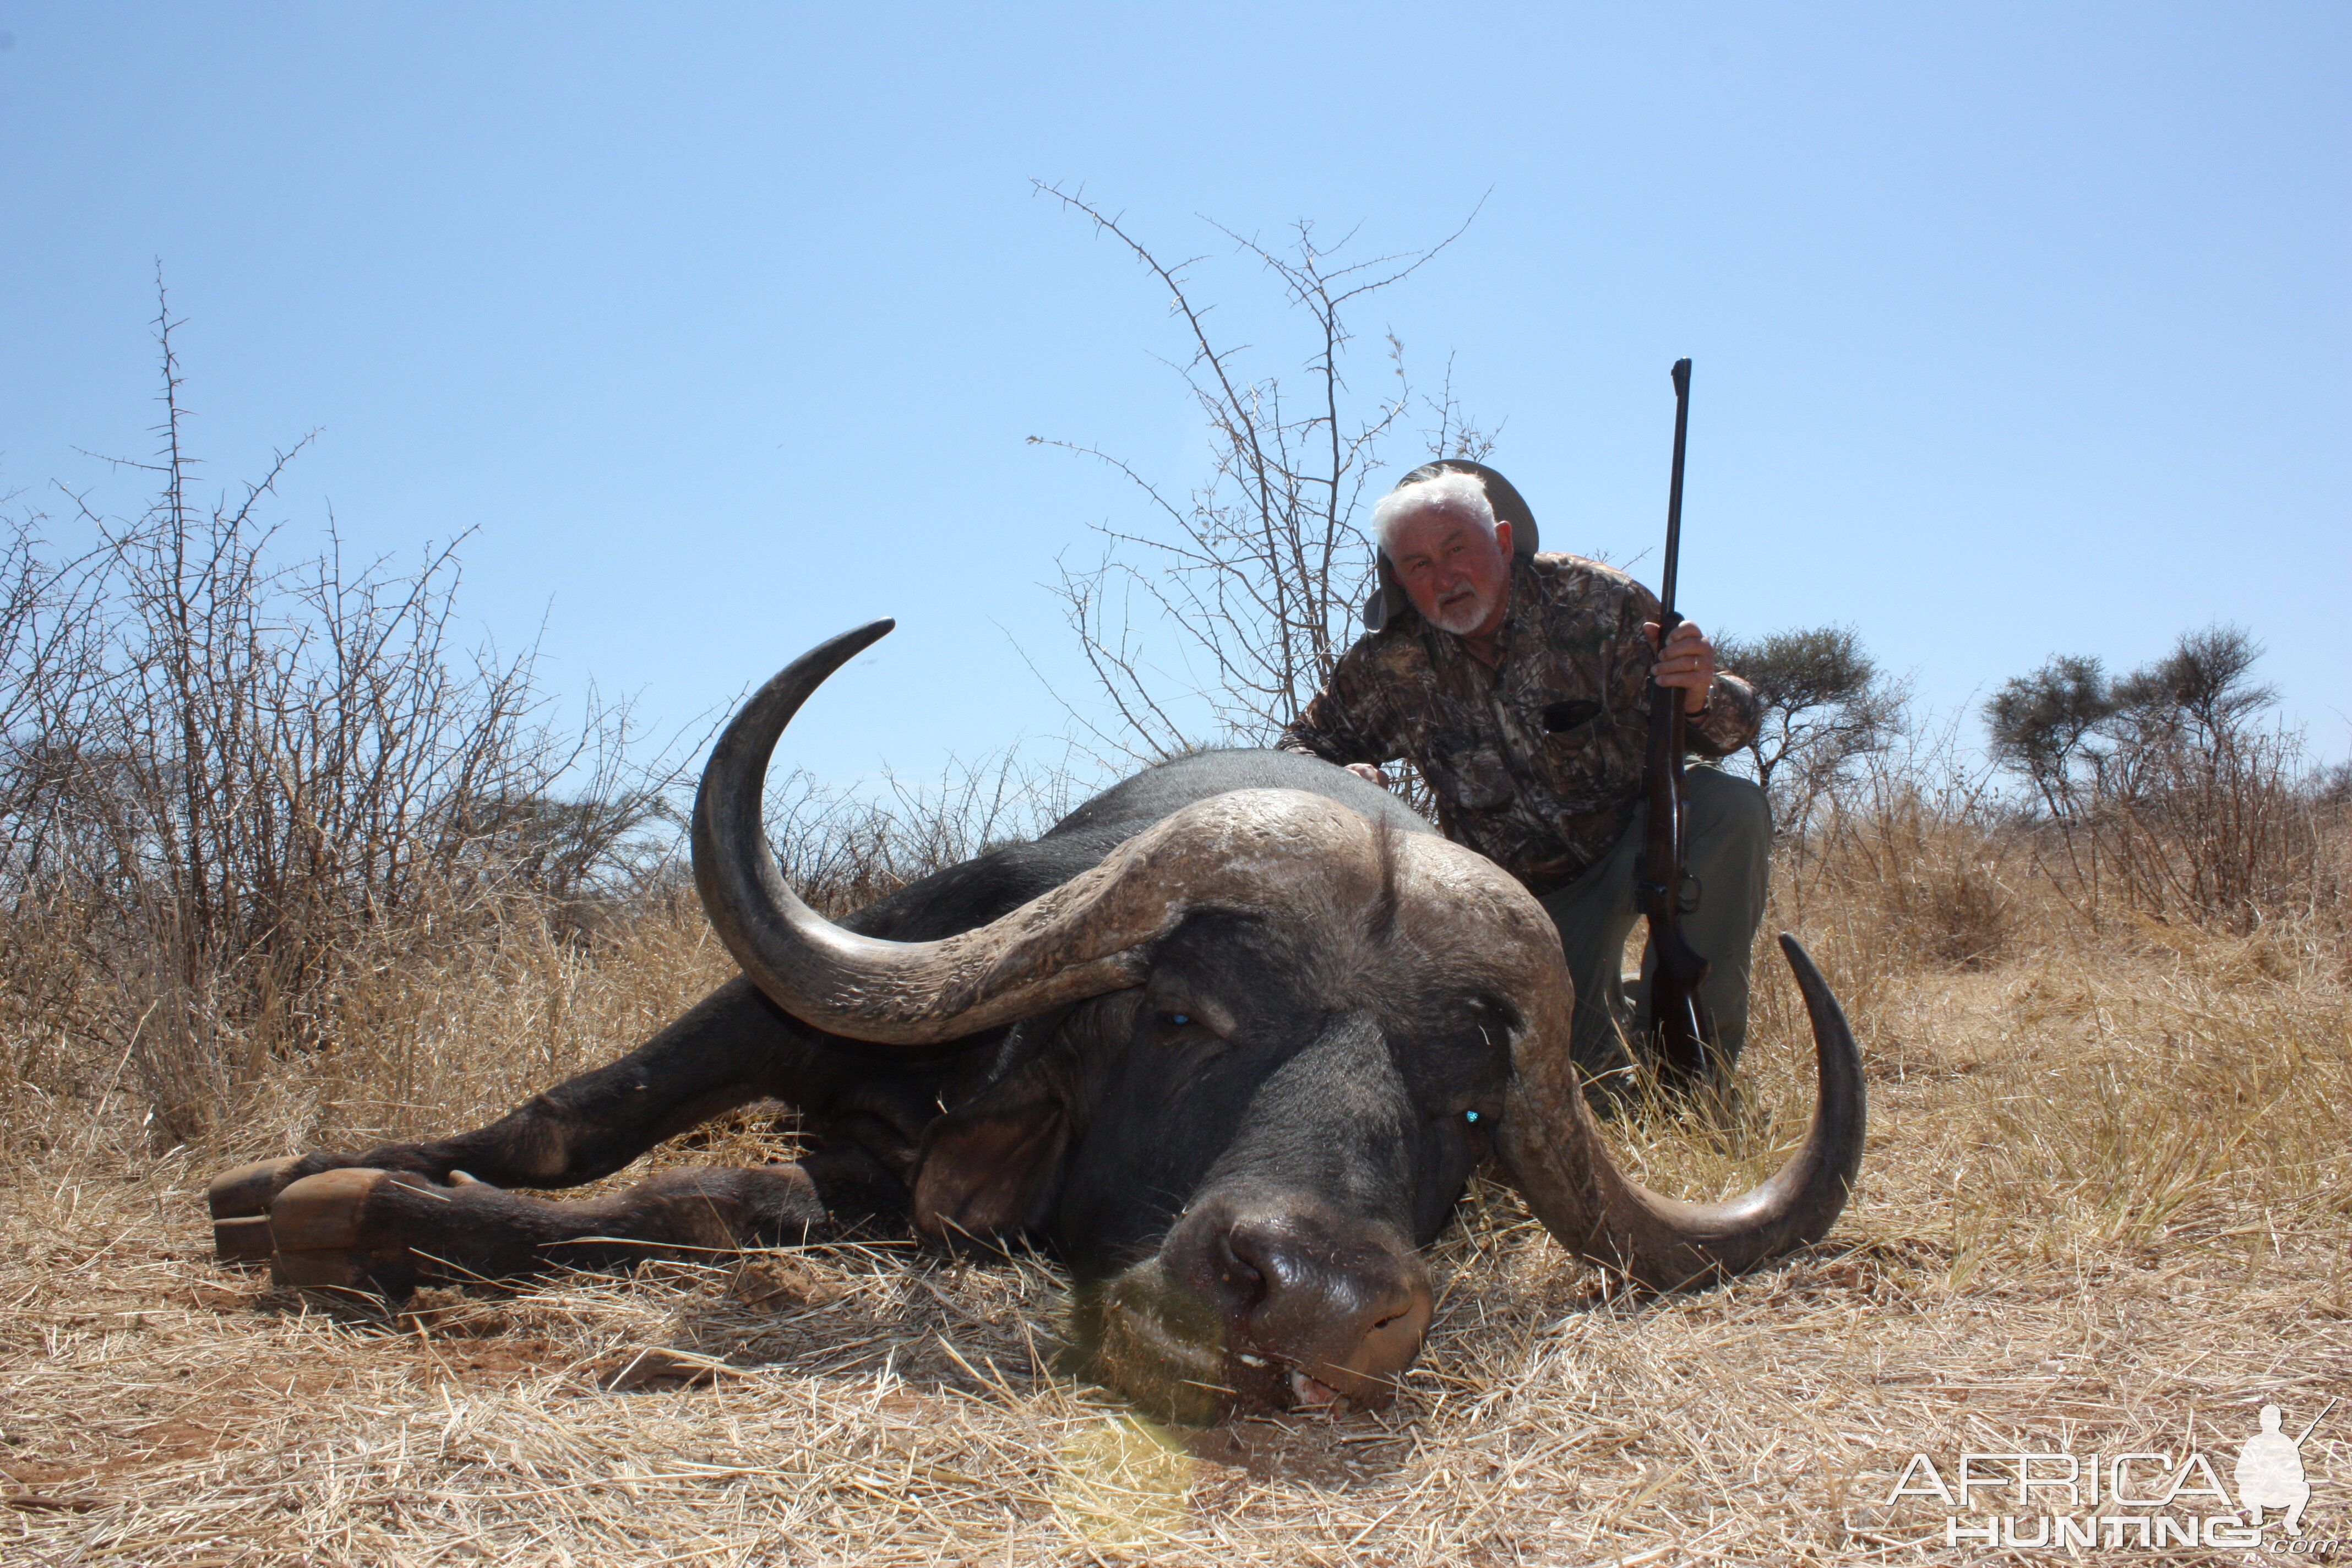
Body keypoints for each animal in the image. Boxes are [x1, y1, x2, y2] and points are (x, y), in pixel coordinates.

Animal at [202, 620, 1863, 1419]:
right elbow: (573, 1117)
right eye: (1184, 1015)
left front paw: (360, 1214)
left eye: (1465, 1110)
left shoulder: (874, 1189)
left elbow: (714, 1196)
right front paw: (298, 1186)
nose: (1318, 1299)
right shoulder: (815, 993)